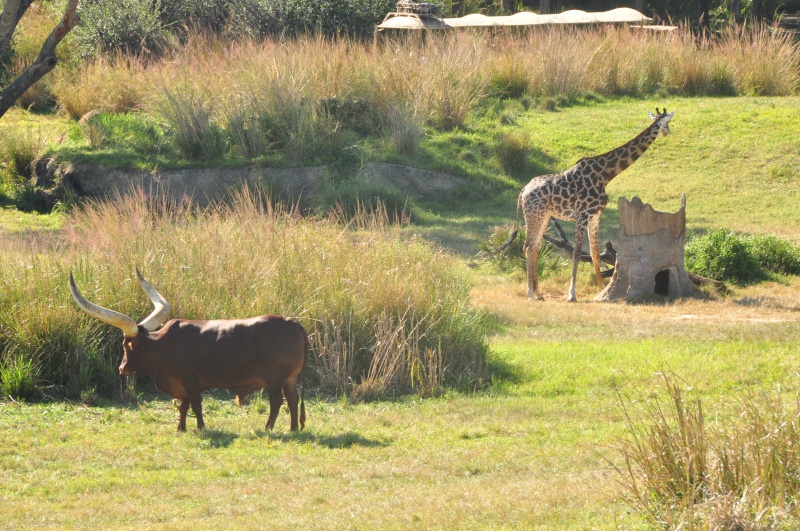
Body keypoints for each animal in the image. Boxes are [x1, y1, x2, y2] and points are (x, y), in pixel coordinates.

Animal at [70, 270, 308, 432]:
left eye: (125, 346)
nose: (121, 368)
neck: (164, 345)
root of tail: (293, 323)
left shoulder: (192, 383)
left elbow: (195, 406)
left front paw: (200, 428)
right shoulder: (183, 385)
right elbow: (183, 407)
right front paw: (181, 428)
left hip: (276, 379)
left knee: (277, 402)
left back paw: (268, 428)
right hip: (290, 379)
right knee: (293, 400)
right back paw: (293, 428)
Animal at [504, 107, 672, 304]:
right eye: (667, 123)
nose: (667, 132)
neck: (605, 174)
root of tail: (523, 191)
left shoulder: (595, 215)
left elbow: (595, 253)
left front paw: (601, 291)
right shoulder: (583, 215)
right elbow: (577, 253)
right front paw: (571, 294)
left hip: (543, 216)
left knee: (535, 247)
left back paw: (539, 293)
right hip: (534, 215)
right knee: (529, 247)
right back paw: (530, 293)